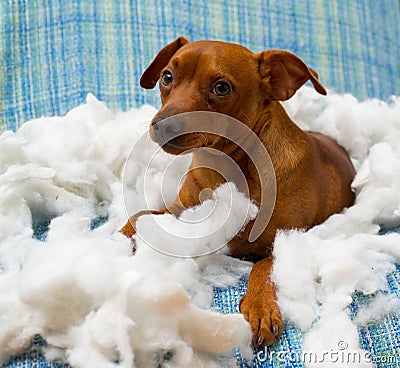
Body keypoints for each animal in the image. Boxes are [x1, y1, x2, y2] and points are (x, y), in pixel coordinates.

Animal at [120, 37, 354, 348]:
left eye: (221, 88)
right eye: (166, 77)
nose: (162, 125)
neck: (227, 169)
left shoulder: (286, 242)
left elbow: (265, 266)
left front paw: (260, 306)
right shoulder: (179, 210)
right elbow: (138, 216)